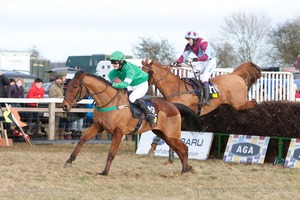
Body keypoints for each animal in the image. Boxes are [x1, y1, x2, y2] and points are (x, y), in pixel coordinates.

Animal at [61, 70, 192, 175]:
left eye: (75, 86)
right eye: (67, 86)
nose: (64, 106)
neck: (109, 102)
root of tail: (173, 106)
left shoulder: (118, 132)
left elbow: (111, 153)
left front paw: (105, 172)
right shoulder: (98, 126)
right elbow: (82, 140)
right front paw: (69, 161)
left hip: (171, 135)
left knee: (184, 148)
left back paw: (185, 170)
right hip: (163, 134)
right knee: (179, 149)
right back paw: (186, 168)